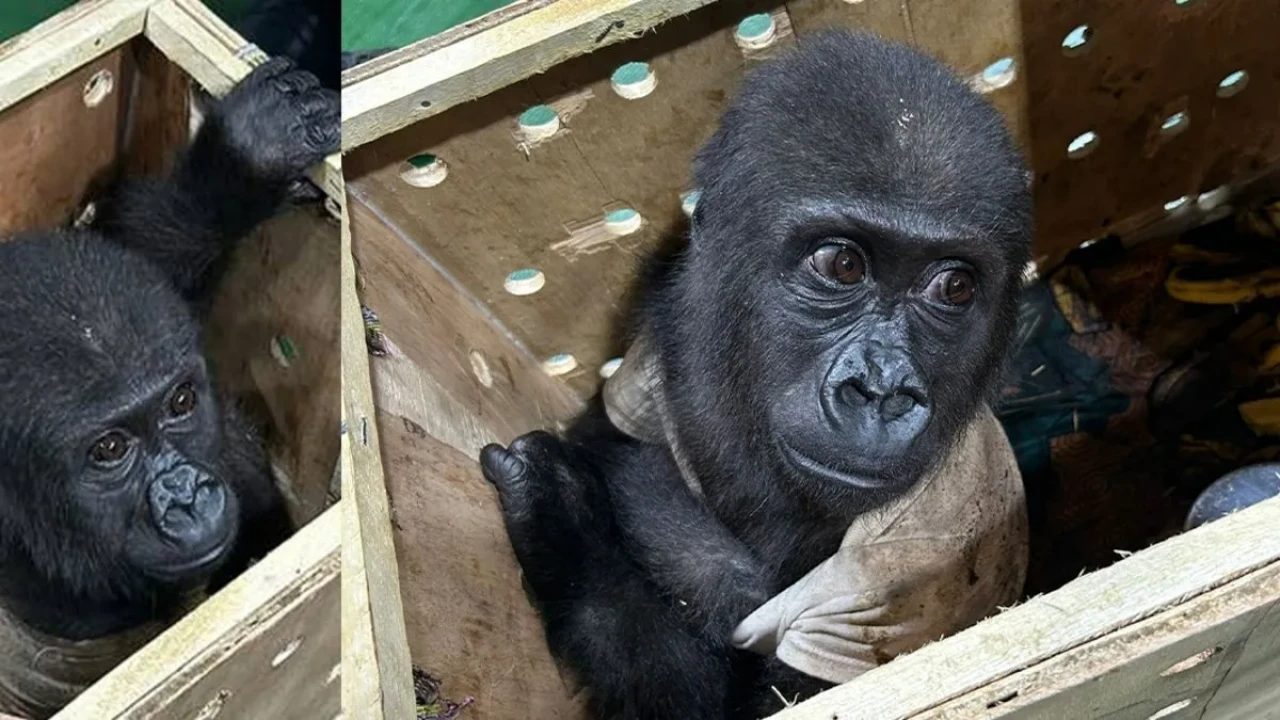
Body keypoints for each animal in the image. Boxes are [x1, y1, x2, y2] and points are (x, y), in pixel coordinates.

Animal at [483, 29, 1034, 717]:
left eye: (954, 287)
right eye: (841, 264)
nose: (881, 389)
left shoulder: (920, 557)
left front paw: (567, 529)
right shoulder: (652, 351)